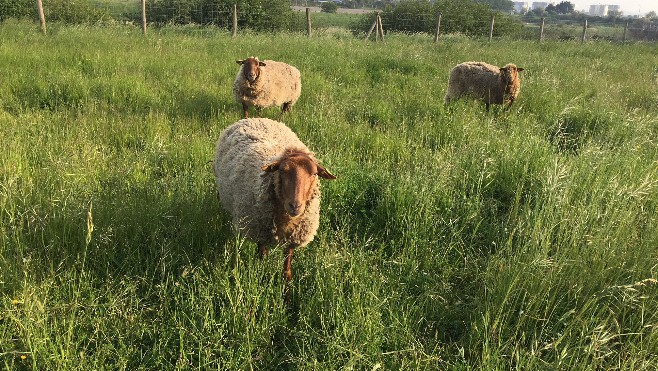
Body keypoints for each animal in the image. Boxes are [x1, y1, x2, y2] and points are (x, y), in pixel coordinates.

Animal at [211, 117, 334, 292]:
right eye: (281, 171)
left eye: (314, 173)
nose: (295, 206)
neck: (285, 221)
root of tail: (254, 118)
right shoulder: (260, 232)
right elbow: (262, 257)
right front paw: (262, 275)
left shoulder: (292, 239)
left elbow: (286, 272)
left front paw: (287, 294)